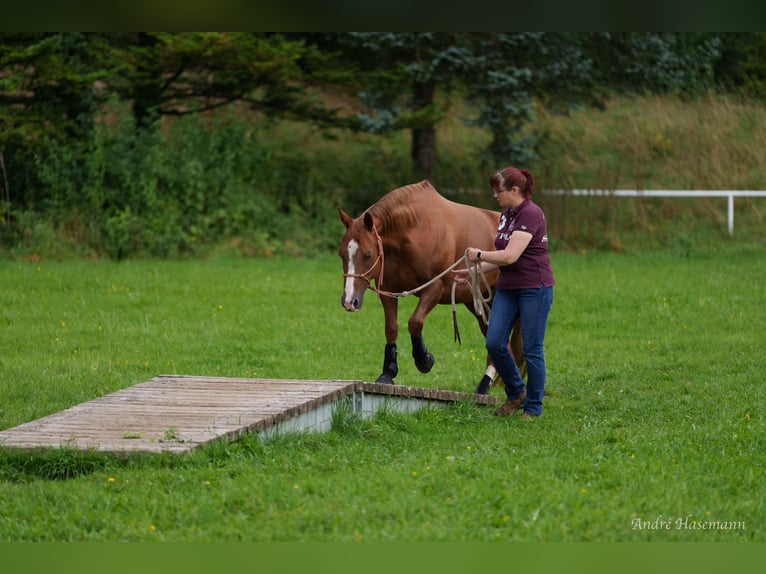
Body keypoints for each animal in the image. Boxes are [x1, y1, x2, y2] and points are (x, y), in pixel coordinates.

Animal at [340, 181, 528, 396]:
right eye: (341, 254)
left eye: (369, 254)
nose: (349, 301)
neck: (414, 230)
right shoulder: (389, 291)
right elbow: (391, 328)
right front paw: (388, 372)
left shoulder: (434, 289)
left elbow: (415, 322)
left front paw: (424, 360)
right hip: (477, 302)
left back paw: (485, 386)